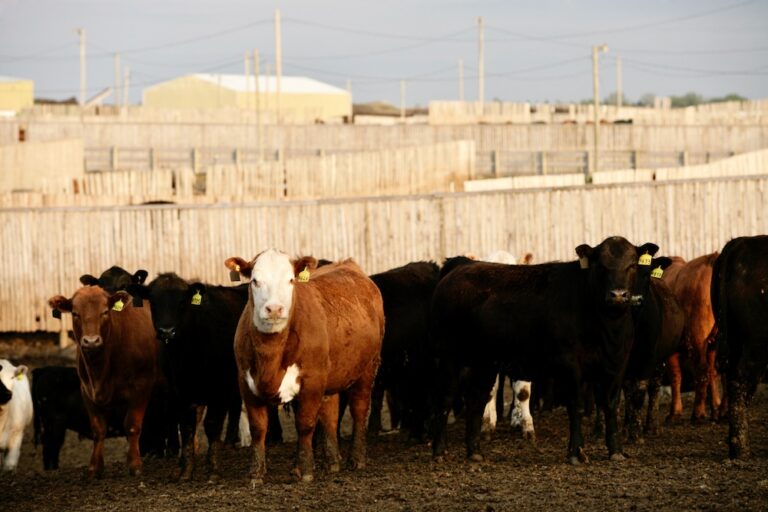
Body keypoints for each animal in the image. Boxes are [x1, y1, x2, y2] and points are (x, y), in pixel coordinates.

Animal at [48, 286, 159, 477]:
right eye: (75, 313)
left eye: (105, 312)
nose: (91, 341)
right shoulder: (86, 390)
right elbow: (98, 429)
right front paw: (94, 467)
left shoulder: (142, 386)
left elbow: (132, 425)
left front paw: (135, 464)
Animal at [127, 273, 261, 481]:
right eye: (154, 303)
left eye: (182, 302)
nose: (167, 331)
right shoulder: (179, 393)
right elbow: (187, 427)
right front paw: (186, 470)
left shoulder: (218, 390)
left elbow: (212, 425)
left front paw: (213, 469)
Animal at [225, 250, 384, 484]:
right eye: (255, 280)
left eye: (290, 280)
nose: (274, 309)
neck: (271, 354)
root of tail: (348, 265)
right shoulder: (245, 382)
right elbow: (258, 427)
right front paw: (256, 473)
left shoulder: (312, 381)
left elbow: (305, 424)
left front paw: (307, 470)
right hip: (331, 378)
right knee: (330, 415)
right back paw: (332, 462)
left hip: (367, 368)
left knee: (359, 409)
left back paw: (356, 459)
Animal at [430, 236, 659, 464]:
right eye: (601, 265)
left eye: (632, 264)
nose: (618, 295)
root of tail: (462, 266)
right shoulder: (571, 364)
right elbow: (575, 405)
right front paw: (576, 452)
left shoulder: (618, 363)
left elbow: (610, 405)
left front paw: (616, 450)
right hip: (450, 357)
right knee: (446, 397)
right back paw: (439, 451)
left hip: (483, 363)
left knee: (476, 399)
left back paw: (474, 451)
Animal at [661, 253, 723, 423]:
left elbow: (675, 375)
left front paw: (674, 412)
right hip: (715, 341)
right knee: (712, 370)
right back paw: (716, 411)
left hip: (698, 337)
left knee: (702, 370)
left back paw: (698, 412)